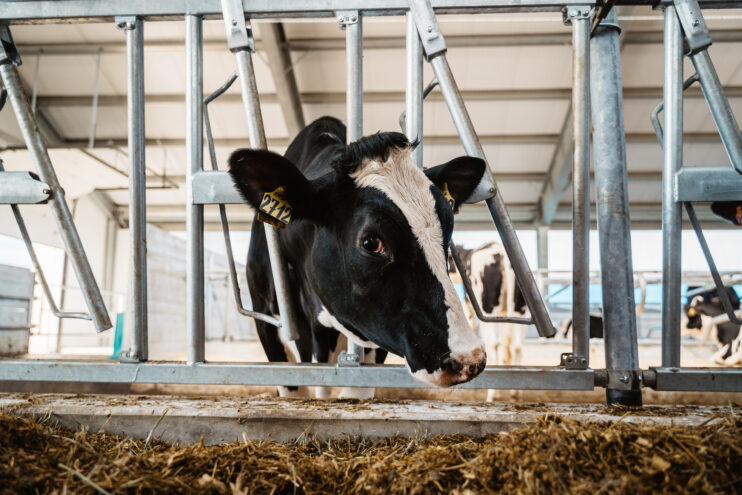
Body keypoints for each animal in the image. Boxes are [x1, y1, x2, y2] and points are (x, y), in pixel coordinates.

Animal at [447, 242, 527, 401]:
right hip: (519, 309)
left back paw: (492, 394)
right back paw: (515, 393)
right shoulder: (503, 313)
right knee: (516, 346)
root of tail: (501, 253)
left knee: (492, 344)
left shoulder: (468, 307)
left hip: (486, 309)